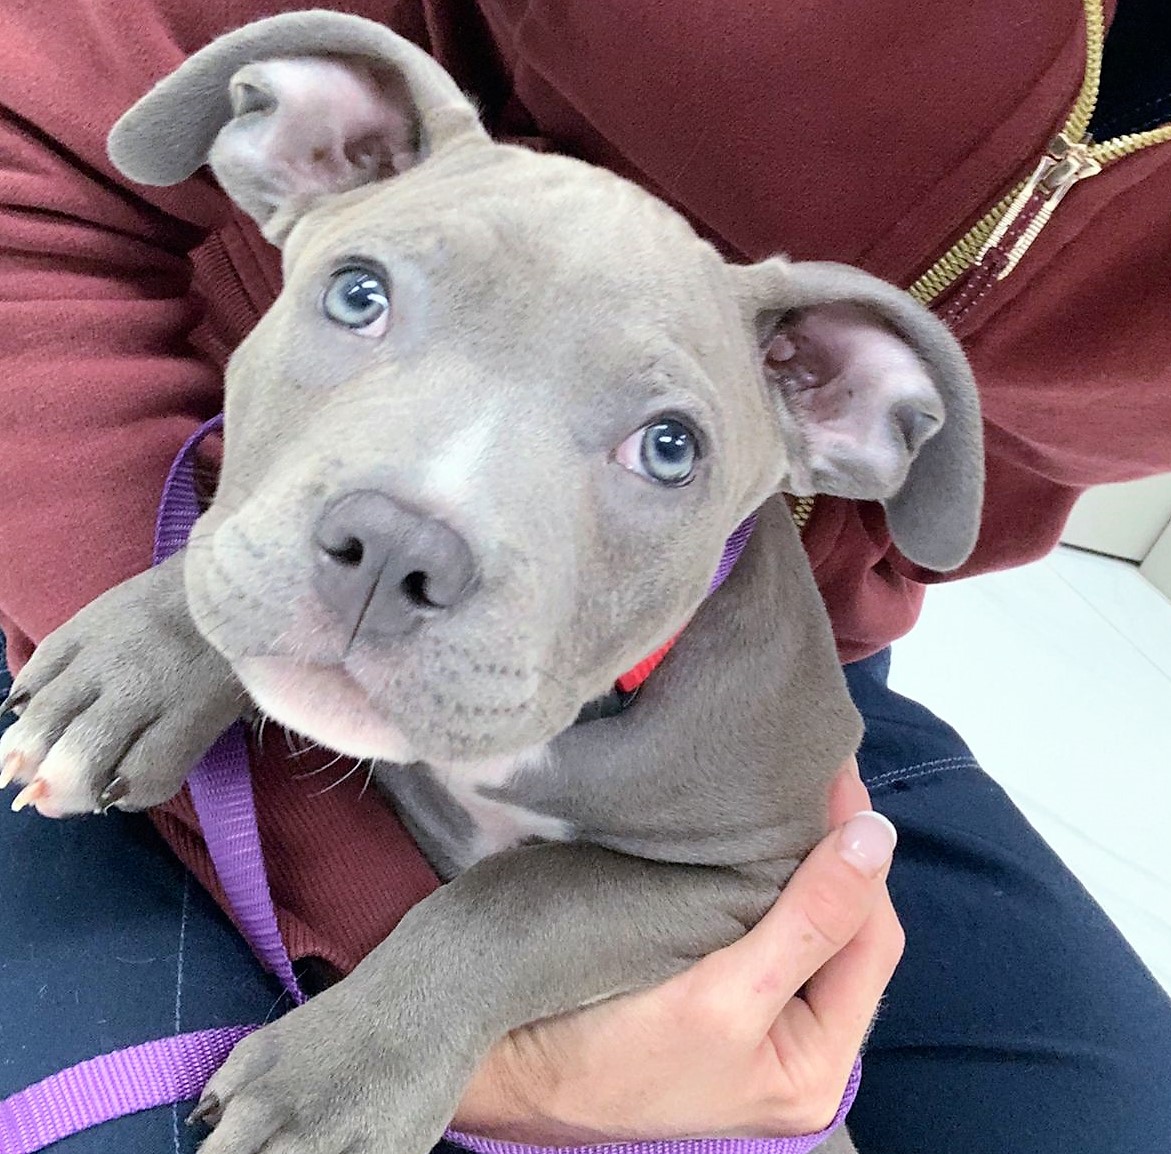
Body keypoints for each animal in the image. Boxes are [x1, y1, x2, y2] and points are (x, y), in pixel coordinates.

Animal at [2, 11, 978, 1152]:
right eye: (357, 294)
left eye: (670, 450)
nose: (392, 548)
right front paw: (135, 670)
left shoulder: (748, 881)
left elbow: (521, 898)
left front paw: (333, 1083)